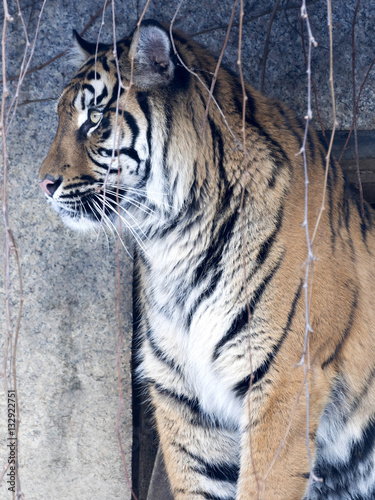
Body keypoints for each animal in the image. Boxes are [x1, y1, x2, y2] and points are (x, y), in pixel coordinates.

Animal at [38, 19, 375, 500]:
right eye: (61, 117)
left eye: (96, 119)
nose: (44, 183)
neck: (174, 238)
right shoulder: (185, 397)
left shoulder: (284, 381)